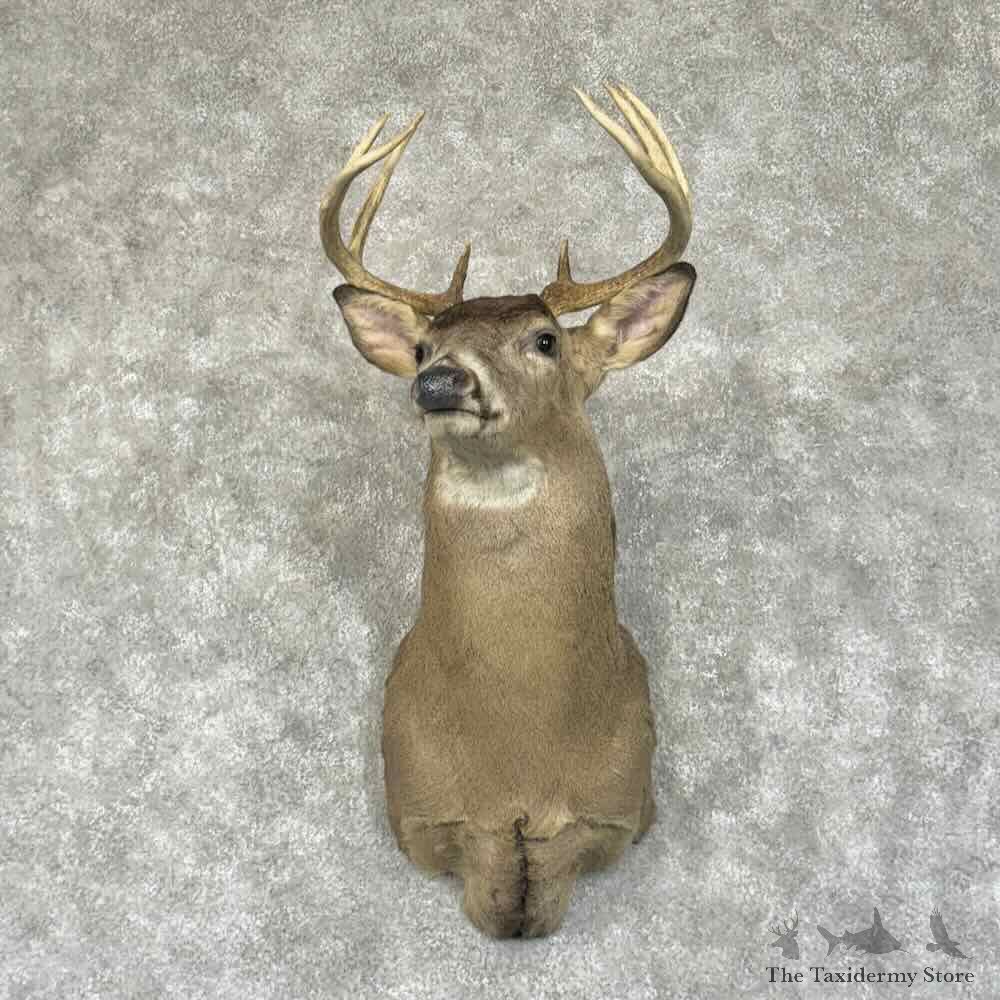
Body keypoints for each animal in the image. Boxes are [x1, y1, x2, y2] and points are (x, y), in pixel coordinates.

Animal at [320, 83, 696, 938]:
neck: (519, 759)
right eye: (422, 348)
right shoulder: (419, 803)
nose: (439, 383)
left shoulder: (624, 802)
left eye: (547, 340)